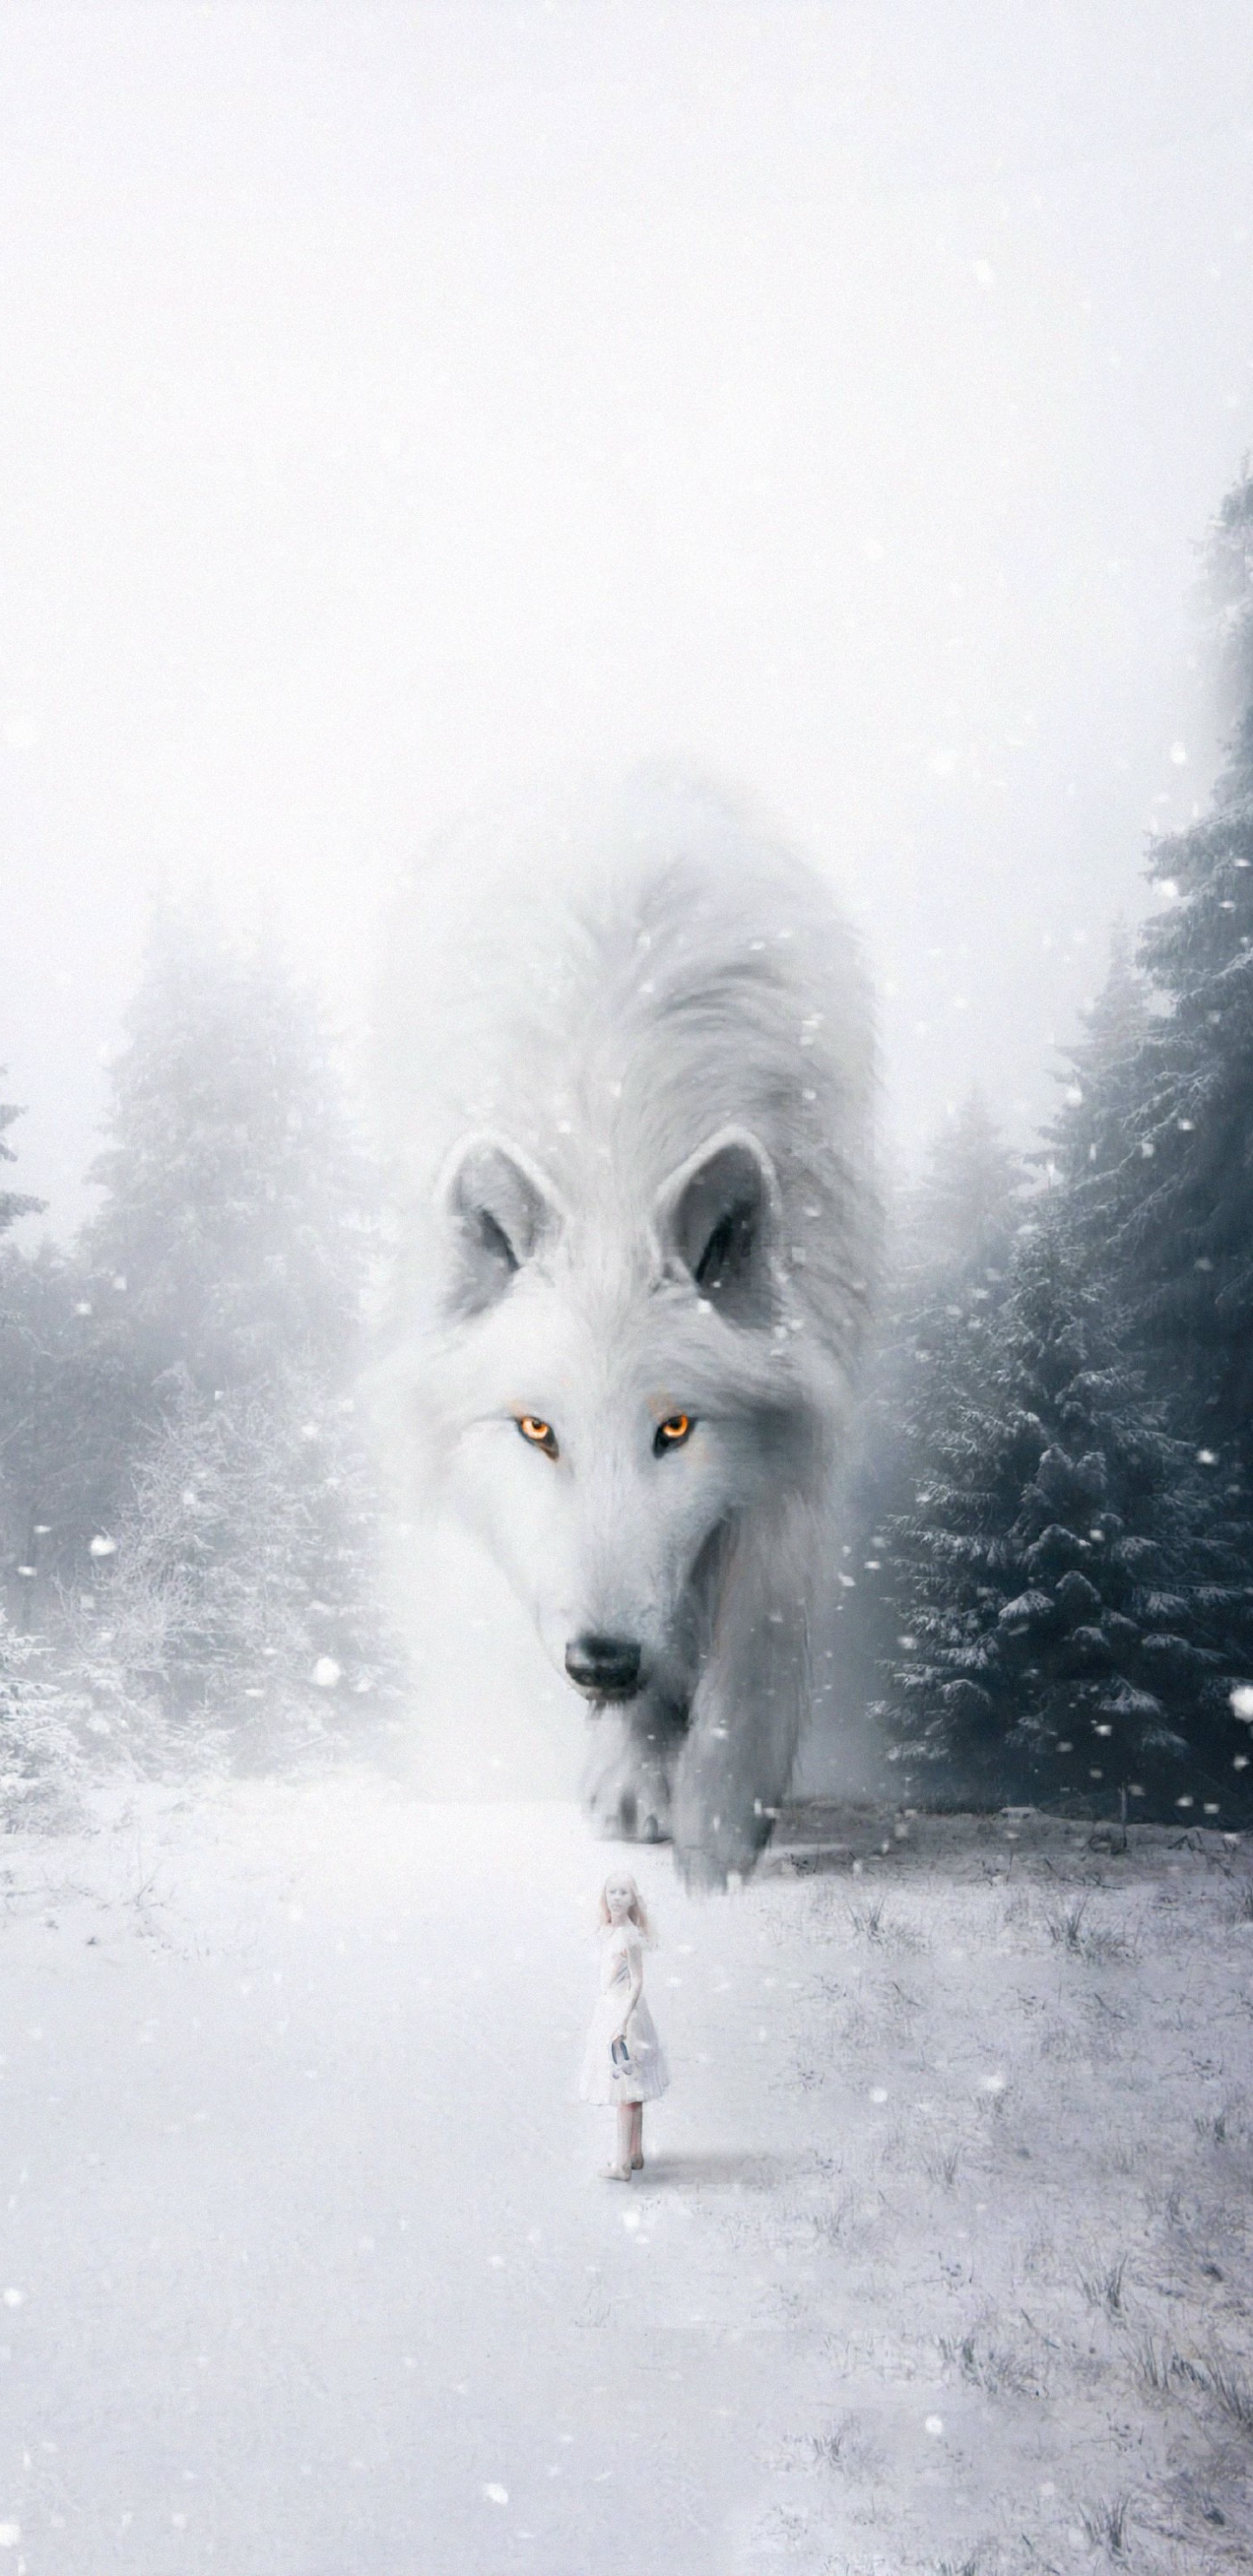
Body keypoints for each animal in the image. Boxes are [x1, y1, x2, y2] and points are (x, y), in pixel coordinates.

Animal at [375, 769, 876, 1884]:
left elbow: (759, 1631)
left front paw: (721, 1829)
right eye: (537, 1430)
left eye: (675, 1428)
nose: (600, 1663)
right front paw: (641, 1771)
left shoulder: (799, 1415)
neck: (613, 1143)